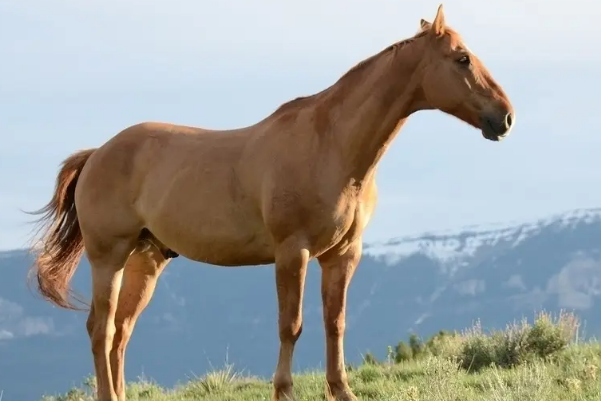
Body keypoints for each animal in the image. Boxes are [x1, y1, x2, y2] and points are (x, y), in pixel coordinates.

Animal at [28, 3, 512, 400]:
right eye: (462, 58)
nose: (505, 117)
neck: (332, 146)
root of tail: (98, 153)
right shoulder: (292, 252)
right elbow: (290, 326)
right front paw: (285, 392)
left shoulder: (343, 255)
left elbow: (335, 323)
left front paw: (342, 391)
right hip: (108, 256)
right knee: (101, 328)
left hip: (146, 260)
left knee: (121, 332)